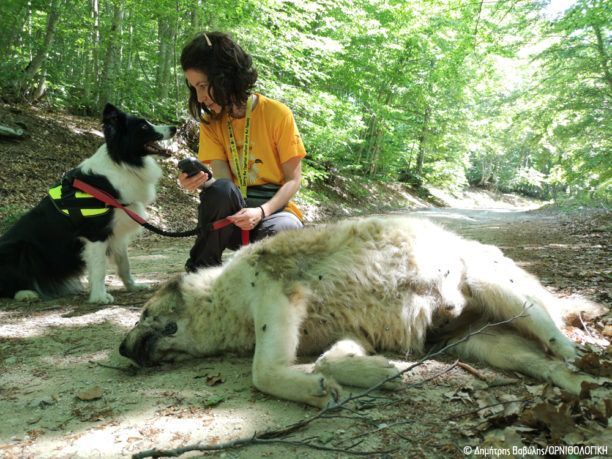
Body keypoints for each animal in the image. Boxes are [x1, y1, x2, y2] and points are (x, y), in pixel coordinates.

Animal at [0, 104, 177, 306]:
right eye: (143, 127)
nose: (175, 128)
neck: (121, 163)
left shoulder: (117, 232)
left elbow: (125, 264)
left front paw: (133, 286)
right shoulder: (95, 234)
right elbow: (99, 268)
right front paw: (100, 297)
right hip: (22, 250)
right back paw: (26, 293)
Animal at [119, 217, 604, 408]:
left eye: (142, 315)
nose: (121, 351)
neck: (219, 297)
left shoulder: (276, 295)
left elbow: (262, 373)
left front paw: (312, 390)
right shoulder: (350, 334)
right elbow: (328, 360)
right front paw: (375, 373)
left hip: (497, 291)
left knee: (557, 336)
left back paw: (583, 356)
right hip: (488, 346)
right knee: (548, 365)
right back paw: (591, 387)